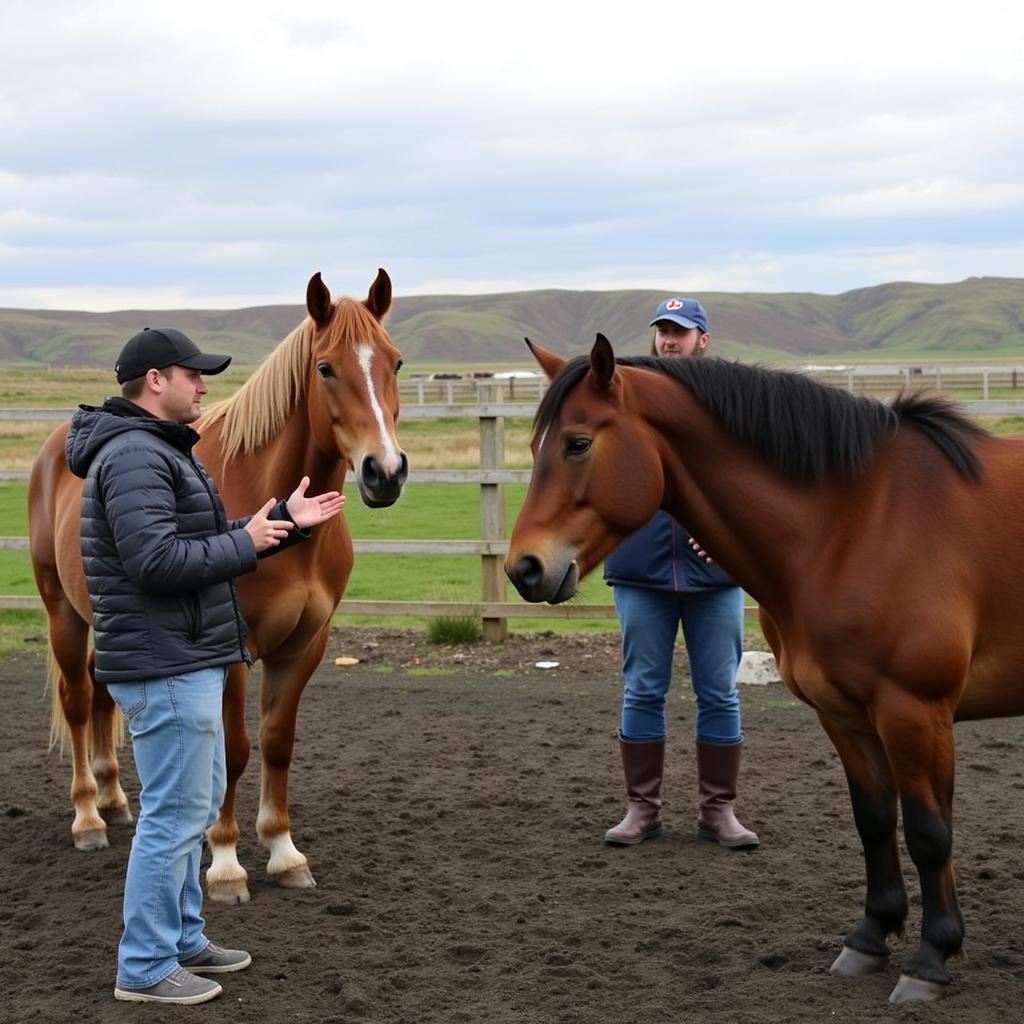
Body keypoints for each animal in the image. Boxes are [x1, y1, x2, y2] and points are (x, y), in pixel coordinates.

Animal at [29, 270, 403, 905]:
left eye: (396, 363)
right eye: (326, 368)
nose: (387, 471)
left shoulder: (305, 646)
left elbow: (277, 742)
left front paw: (283, 851)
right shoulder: (233, 649)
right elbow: (233, 748)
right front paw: (226, 862)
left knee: (102, 692)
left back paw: (114, 797)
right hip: (63, 613)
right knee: (78, 700)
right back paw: (87, 817)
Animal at [503, 333, 1024, 999]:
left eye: (577, 443)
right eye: (535, 446)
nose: (524, 568)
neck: (858, 520)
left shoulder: (915, 713)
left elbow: (931, 834)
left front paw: (931, 959)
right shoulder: (846, 717)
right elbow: (875, 821)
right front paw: (869, 940)